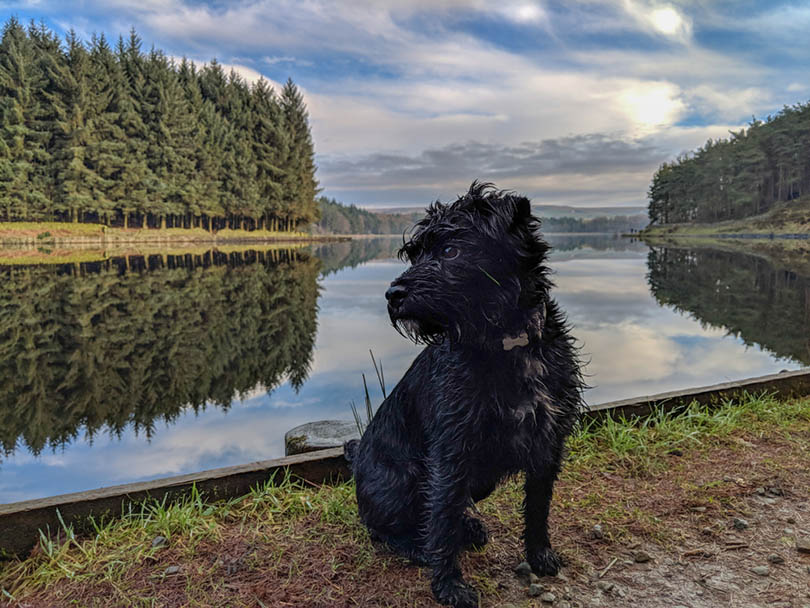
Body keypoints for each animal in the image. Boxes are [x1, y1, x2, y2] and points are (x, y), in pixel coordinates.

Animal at [342, 182, 580, 608]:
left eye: (451, 250)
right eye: (415, 253)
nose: (392, 293)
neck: (508, 346)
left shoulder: (548, 445)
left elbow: (538, 508)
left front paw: (539, 555)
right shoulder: (450, 455)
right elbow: (442, 521)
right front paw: (450, 586)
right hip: (401, 481)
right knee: (381, 529)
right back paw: (418, 546)